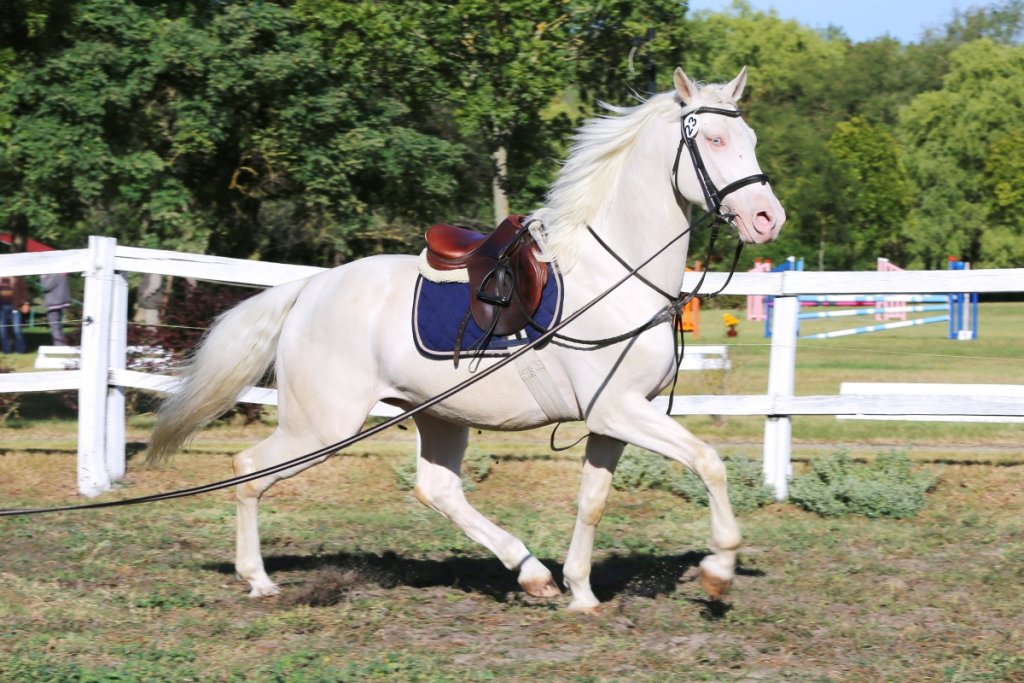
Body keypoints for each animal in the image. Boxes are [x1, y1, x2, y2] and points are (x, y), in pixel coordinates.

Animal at [148, 66, 785, 612]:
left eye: (751, 137)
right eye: (715, 140)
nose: (767, 219)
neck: (615, 277)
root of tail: (310, 289)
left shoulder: (612, 420)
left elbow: (593, 501)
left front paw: (581, 591)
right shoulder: (619, 411)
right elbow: (709, 463)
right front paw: (718, 571)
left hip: (437, 414)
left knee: (438, 491)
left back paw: (533, 575)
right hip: (321, 427)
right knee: (249, 470)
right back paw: (257, 578)